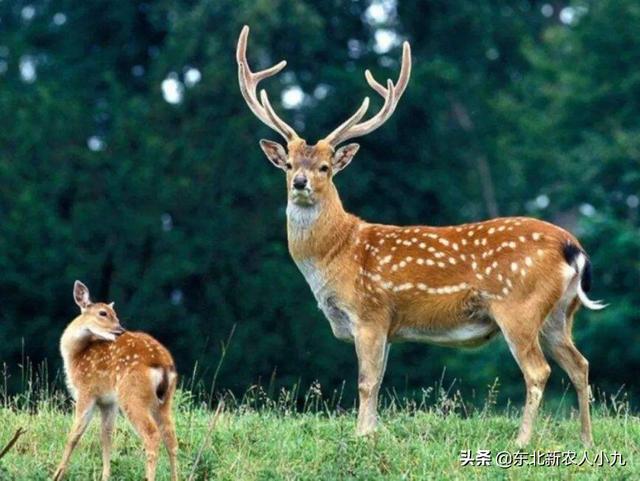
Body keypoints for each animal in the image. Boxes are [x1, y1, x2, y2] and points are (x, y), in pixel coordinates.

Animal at [52, 282, 178, 480]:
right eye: (103, 313)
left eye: (115, 313)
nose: (121, 330)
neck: (75, 355)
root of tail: (163, 364)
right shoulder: (108, 401)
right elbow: (106, 436)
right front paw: (105, 476)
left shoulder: (86, 390)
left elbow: (74, 435)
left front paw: (56, 474)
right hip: (165, 400)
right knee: (171, 438)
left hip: (132, 395)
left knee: (152, 435)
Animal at [236, 25, 604, 446]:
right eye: (289, 164)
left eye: (326, 167)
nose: (300, 183)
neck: (337, 254)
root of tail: (572, 247)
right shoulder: (388, 327)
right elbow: (379, 381)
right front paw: (373, 433)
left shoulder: (371, 312)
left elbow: (366, 382)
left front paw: (361, 437)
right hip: (560, 313)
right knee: (580, 364)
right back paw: (586, 440)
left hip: (519, 305)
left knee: (538, 371)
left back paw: (521, 440)